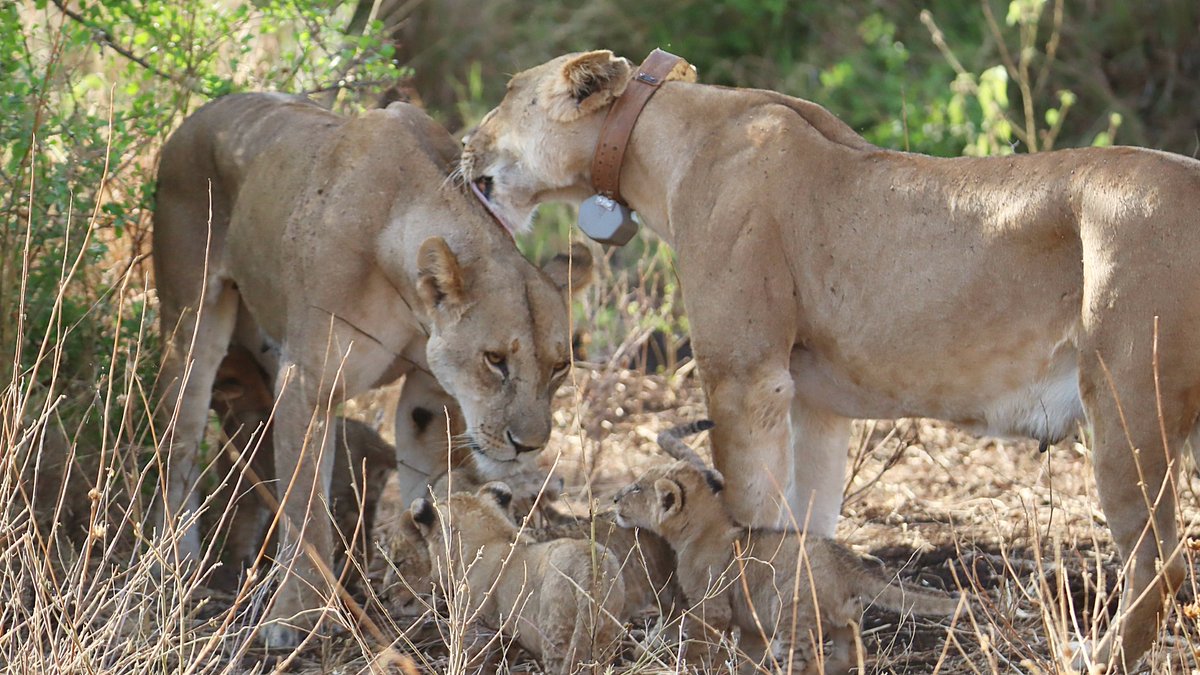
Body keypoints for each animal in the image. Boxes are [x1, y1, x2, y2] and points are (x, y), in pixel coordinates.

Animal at [153, 92, 592, 646]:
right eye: (495, 360)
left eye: (559, 367)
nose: (529, 446)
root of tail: (197, 115)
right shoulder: (306, 381)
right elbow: (307, 509)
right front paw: (294, 617)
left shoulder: (429, 393)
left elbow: (428, 491)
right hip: (192, 323)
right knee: (180, 444)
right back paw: (178, 565)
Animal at [401, 482, 627, 675]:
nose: (433, 574)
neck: (492, 534)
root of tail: (590, 564)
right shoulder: (508, 637)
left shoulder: (478, 628)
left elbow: (473, 662)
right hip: (605, 634)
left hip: (557, 632)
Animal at [614, 421, 960, 673]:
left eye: (637, 488)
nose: (615, 497)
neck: (703, 527)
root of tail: (845, 562)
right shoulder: (751, 623)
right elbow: (748, 655)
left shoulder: (712, 606)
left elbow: (701, 644)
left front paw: (691, 664)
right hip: (845, 616)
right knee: (849, 654)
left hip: (792, 614)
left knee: (806, 663)